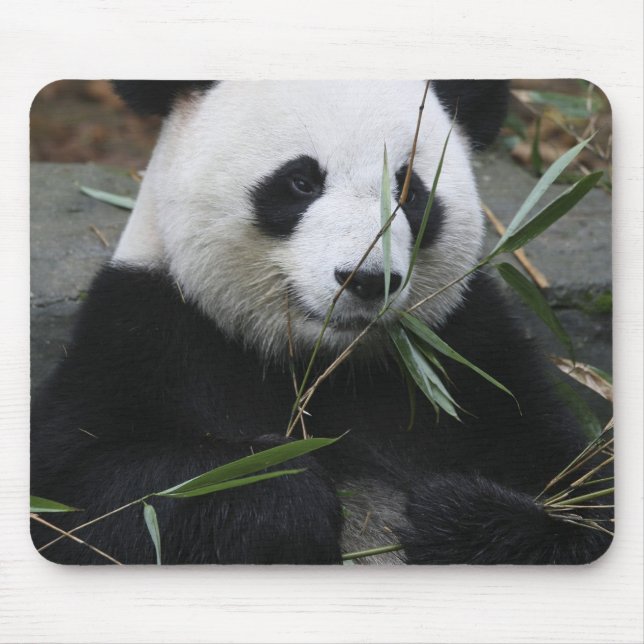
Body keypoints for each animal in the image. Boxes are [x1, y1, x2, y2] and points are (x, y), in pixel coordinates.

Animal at [31, 80, 612, 565]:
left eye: (408, 191)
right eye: (301, 182)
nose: (368, 279)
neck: (322, 365)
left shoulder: (469, 355)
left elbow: (583, 499)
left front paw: (452, 517)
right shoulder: (147, 334)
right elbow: (88, 502)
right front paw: (284, 493)